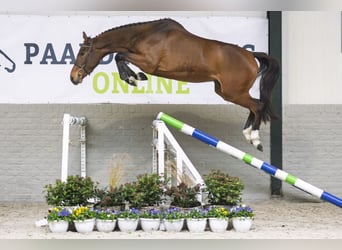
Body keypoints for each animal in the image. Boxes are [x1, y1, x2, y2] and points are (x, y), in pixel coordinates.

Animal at [71, 18, 280, 151]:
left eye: (82, 52)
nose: (74, 77)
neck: (144, 36)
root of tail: (251, 55)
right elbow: (120, 56)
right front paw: (134, 76)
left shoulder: (149, 63)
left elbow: (119, 55)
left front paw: (133, 77)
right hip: (225, 91)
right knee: (254, 106)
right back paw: (248, 134)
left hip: (233, 92)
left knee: (257, 105)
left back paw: (255, 139)